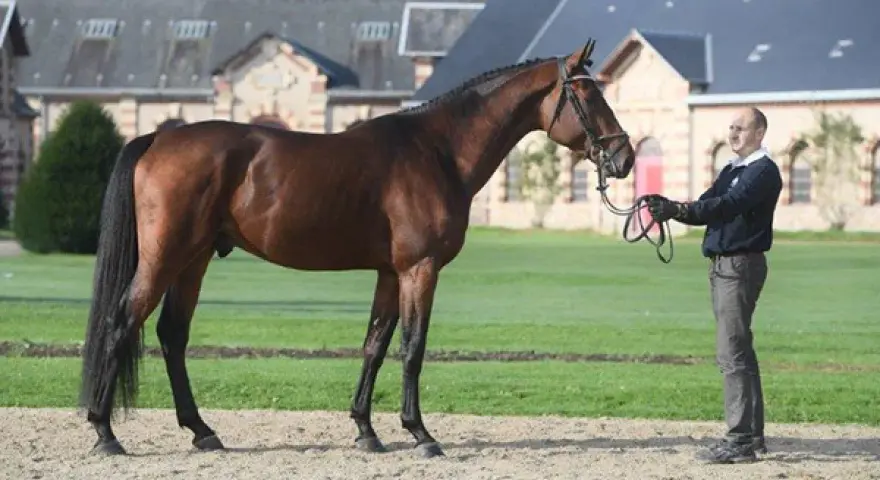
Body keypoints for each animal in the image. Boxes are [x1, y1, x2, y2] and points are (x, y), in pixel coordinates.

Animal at [79, 38, 636, 458]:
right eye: (588, 95)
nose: (624, 156)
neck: (436, 151)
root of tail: (156, 138)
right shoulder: (420, 270)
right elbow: (412, 347)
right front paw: (421, 434)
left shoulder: (391, 273)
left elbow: (375, 344)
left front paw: (367, 431)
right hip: (165, 258)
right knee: (121, 322)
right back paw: (106, 432)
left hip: (193, 261)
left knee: (172, 335)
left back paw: (202, 431)